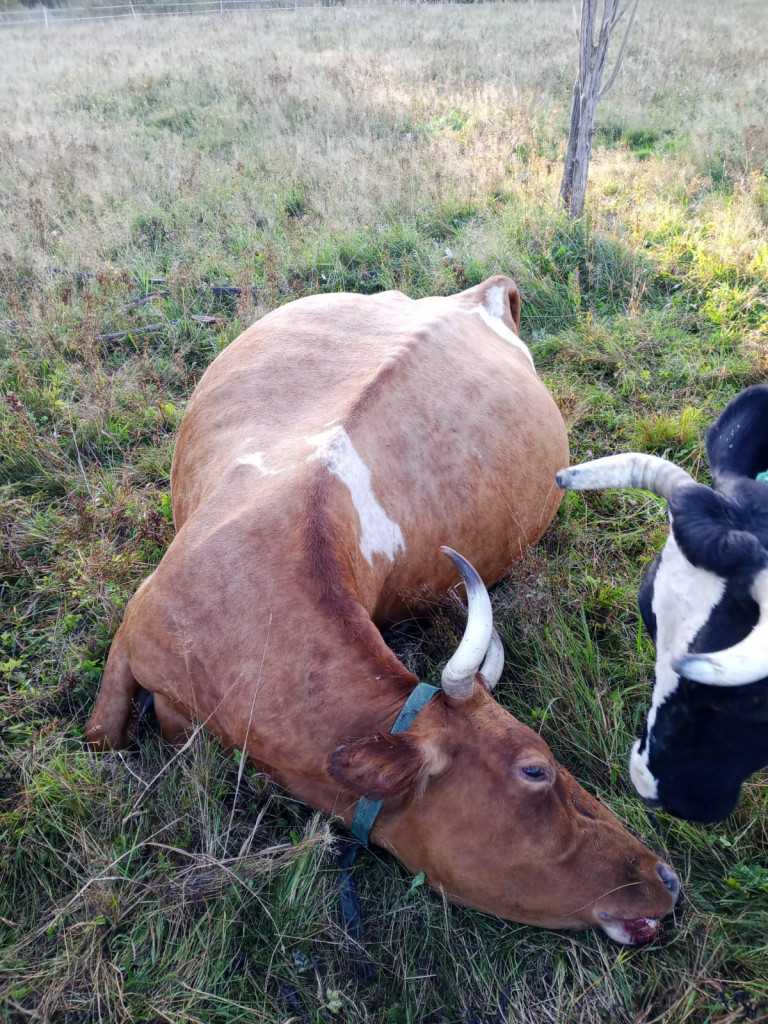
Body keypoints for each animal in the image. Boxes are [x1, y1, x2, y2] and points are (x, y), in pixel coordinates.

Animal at [87, 276, 684, 937]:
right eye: (535, 768)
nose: (665, 876)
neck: (246, 619)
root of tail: (476, 292)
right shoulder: (135, 627)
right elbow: (103, 739)